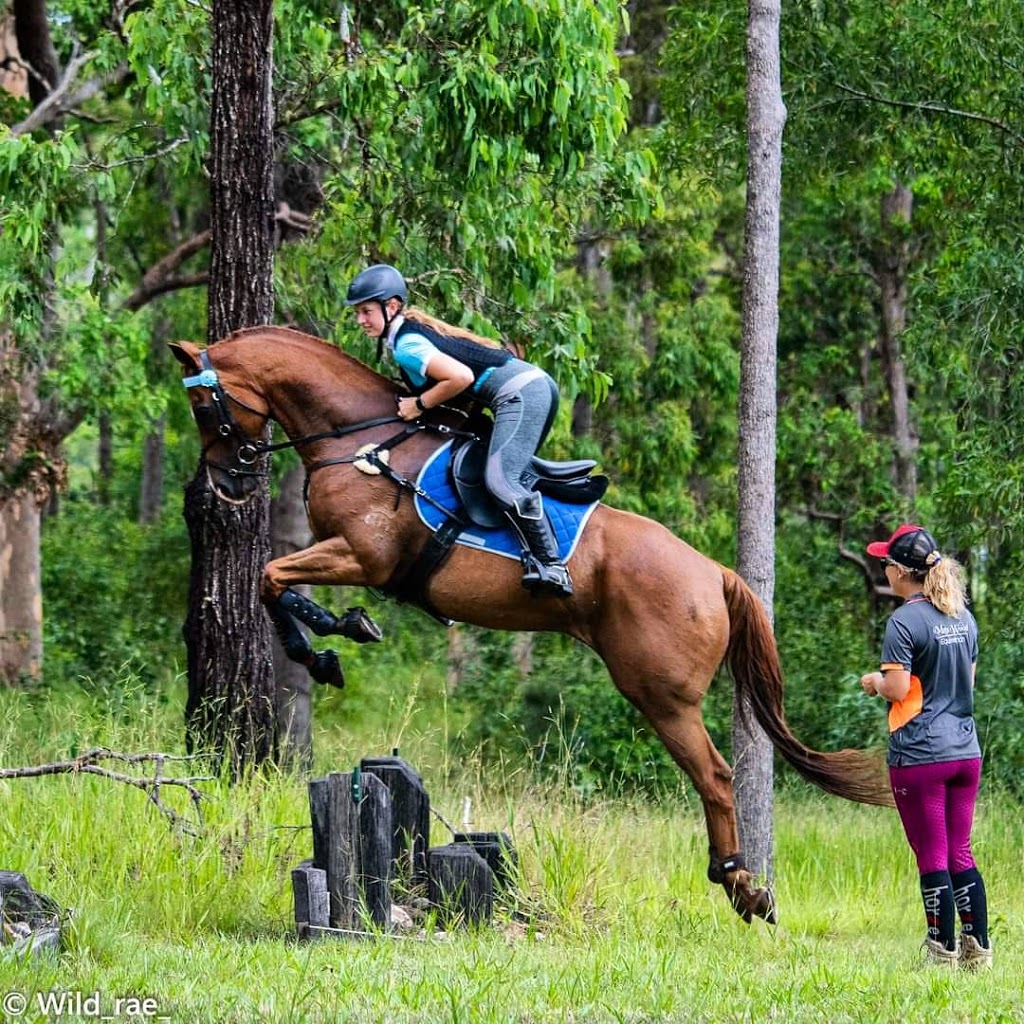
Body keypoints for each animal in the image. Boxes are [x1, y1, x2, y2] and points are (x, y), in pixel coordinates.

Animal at [172, 325, 892, 921]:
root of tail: (713, 573)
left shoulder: (362, 556)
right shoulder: (346, 556)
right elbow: (273, 582)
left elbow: (273, 580)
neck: (359, 440)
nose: (228, 483)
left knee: (713, 775)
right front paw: (336, 636)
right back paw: (744, 887)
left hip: (660, 692)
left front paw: (333, 641)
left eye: (206, 408)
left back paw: (741, 886)